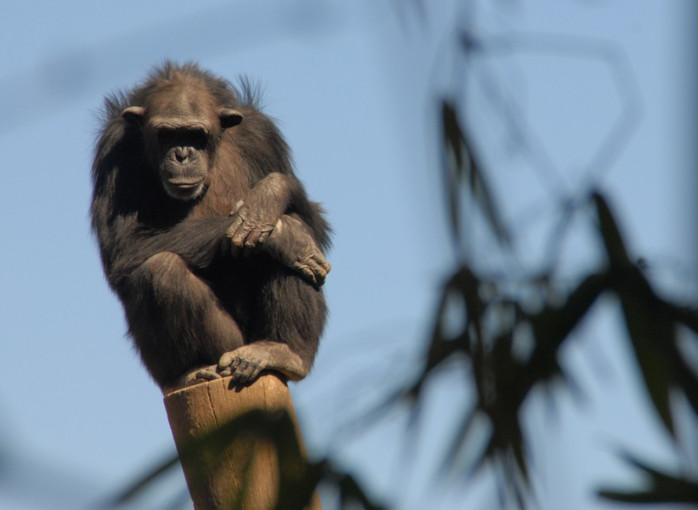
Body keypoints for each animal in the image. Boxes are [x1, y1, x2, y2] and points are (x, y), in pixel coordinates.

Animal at [91, 62, 331, 391]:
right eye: (166, 134)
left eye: (196, 134)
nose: (182, 154)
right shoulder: (114, 150)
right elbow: (124, 246)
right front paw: (284, 237)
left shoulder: (263, 134)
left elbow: (316, 224)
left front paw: (270, 196)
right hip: (226, 347)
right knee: (161, 270)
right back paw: (192, 370)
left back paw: (283, 351)